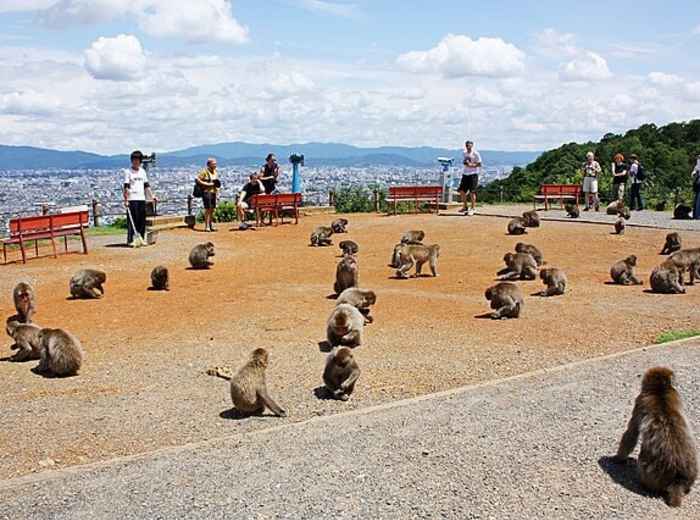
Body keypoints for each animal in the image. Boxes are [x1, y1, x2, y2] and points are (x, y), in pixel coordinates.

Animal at [614, 367, 697, 507]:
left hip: (650, 474)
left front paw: (618, 458)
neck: (659, 391)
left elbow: (631, 433)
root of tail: (677, 480)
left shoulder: (640, 400)